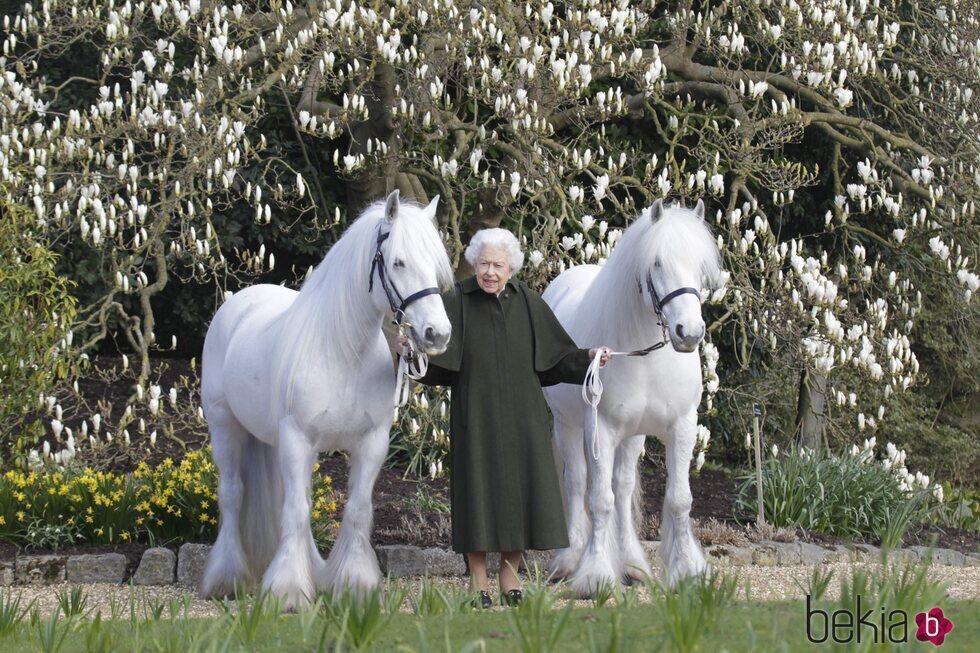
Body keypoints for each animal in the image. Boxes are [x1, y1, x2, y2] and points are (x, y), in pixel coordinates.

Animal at [203, 191, 456, 608]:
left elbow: (355, 510)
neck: (343, 353)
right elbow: (295, 510)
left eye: (436, 266)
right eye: (398, 261)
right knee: (233, 495)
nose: (438, 334)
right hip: (225, 427)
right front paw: (288, 591)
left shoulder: (371, 443)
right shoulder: (297, 439)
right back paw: (226, 578)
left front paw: (354, 584)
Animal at [544, 199, 720, 596]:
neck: (646, 355)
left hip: (633, 435)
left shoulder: (681, 427)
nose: (689, 332)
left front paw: (688, 571)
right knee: (577, 482)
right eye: (657, 263)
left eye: (700, 266)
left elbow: (678, 500)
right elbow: (599, 500)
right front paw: (594, 575)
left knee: (622, 488)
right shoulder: (601, 429)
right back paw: (570, 559)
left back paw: (632, 564)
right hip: (568, 426)